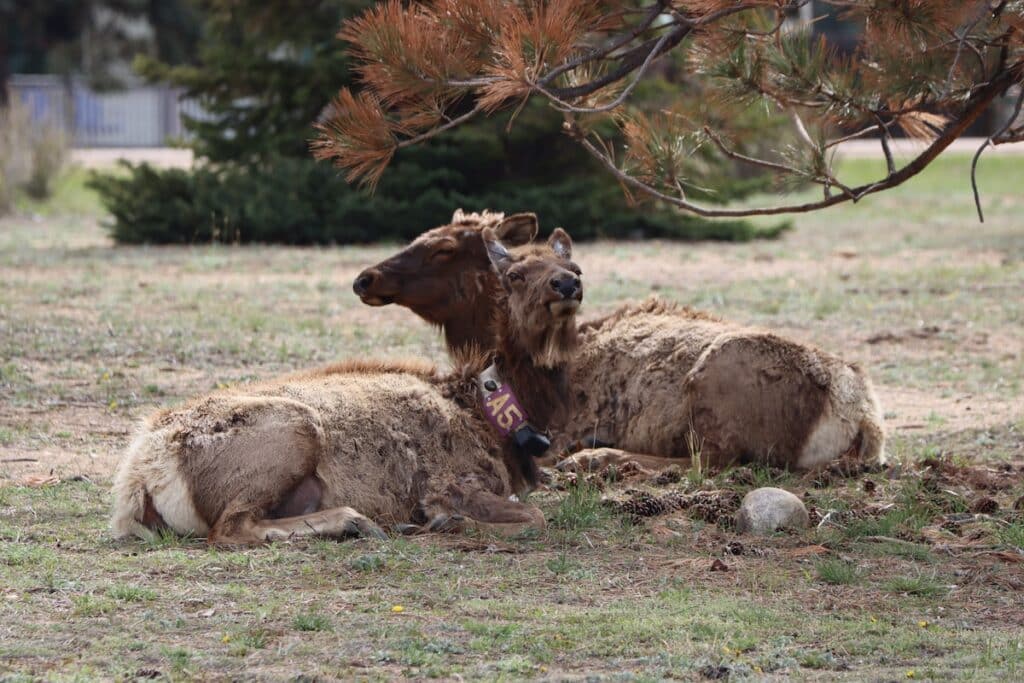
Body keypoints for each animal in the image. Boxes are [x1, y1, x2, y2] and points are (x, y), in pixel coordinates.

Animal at [111, 227, 583, 545]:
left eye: (575, 267)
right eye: (515, 274)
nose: (567, 284)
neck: (495, 414)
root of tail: (140, 478)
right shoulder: (449, 483)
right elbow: (536, 518)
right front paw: (447, 522)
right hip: (293, 431)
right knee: (229, 528)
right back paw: (354, 521)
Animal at [353, 210, 886, 474]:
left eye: (442, 247)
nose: (365, 277)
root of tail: (860, 417)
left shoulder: (561, 426)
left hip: (717, 384)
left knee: (714, 460)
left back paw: (601, 459)